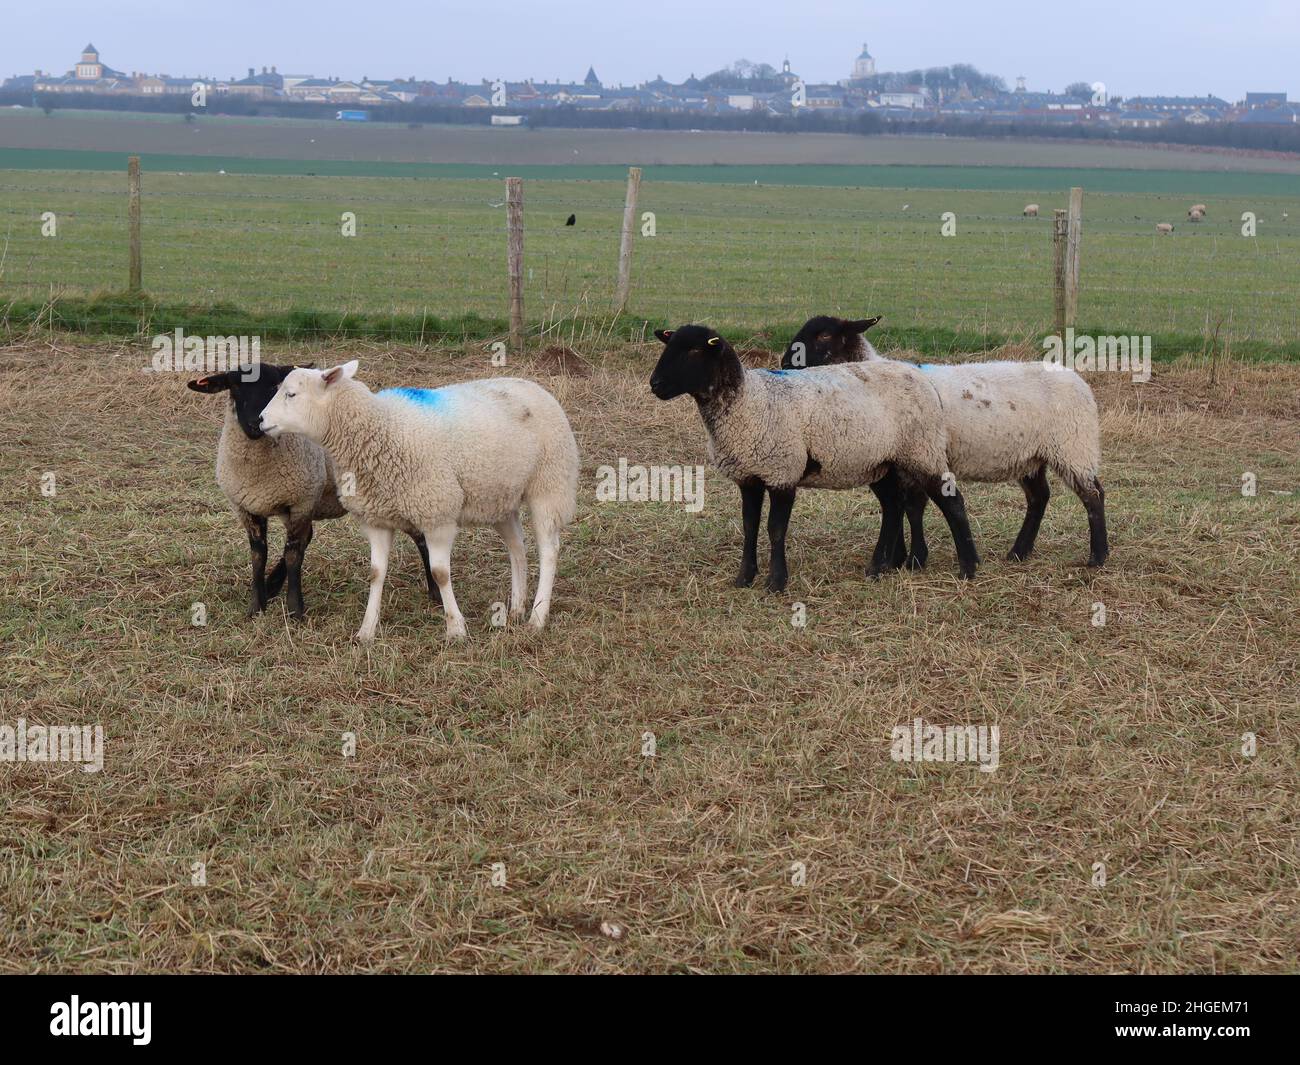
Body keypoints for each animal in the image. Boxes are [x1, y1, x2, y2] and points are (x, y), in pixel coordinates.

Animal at [258, 364, 574, 642]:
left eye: (291, 394)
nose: (260, 420)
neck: (378, 429)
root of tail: (533, 386)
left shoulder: (437, 515)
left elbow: (440, 574)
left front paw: (455, 628)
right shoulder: (376, 519)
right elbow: (375, 574)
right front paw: (367, 631)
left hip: (549, 484)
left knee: (548, 550)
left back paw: (537, 618)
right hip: (499, 497)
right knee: (517, 547)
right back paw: (518, 607)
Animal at [780, 315, 1107, 569]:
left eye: (824, 335)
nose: (785, 362)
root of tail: (1079, 381)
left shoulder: (919, 456)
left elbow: (911, 507)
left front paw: (910, 560)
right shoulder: (902, 464)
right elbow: (908, 507)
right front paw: (901, 559)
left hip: (1073, 446)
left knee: (1093, 496)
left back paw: (1097, 556)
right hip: (1030, 455)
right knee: (1039, 497)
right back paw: (1018, 552)